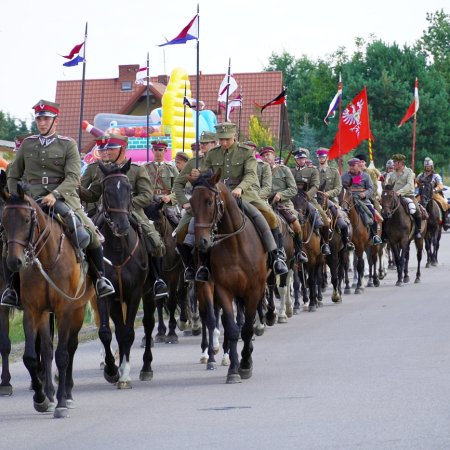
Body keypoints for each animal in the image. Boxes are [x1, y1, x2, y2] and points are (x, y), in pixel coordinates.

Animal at [0, 177, 94, 418]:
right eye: (4, 221)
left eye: (26, 220)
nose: (14, 262)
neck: (48, 257)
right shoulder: (33, 310)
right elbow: (31, 356)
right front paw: (41, 399)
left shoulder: (64, 309)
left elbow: (62, 355)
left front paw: (60, 403)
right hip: (45, 314)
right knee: (47, 349)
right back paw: (50, 393)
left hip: (78, 310)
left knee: (70, 347)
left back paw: (67, 394)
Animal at [94, 161, 156, 386]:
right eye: (106, 190)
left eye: (129, 189)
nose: (121, 225)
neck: (119, 247)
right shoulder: (106, 294)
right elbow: (107, 332)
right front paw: (112, 370)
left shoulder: (135, 293)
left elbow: (129, 332)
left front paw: (125, 373)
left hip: (149, 293)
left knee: (148, 324)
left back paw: (146, 367)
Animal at [189, 170, 268, 384]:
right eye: (191, 203)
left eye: (209, 201)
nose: (202, 242)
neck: (235, 245)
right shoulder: (223, 289)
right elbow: (231, 328)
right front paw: (233, 369)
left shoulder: (254, 290)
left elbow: (246, 328)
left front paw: (246, 364)